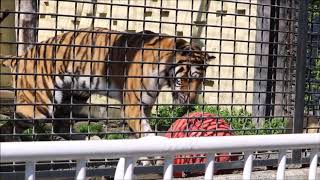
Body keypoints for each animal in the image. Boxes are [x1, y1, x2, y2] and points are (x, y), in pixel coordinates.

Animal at [0, 27, 215, 142]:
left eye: (200, 81)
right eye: (188, 78)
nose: (191, 102)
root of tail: (19, 57)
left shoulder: (144, 105)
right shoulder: (133, 106)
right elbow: (146, 132)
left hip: (74, 95)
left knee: (61, 124)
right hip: (38, 104)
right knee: (10, 125)